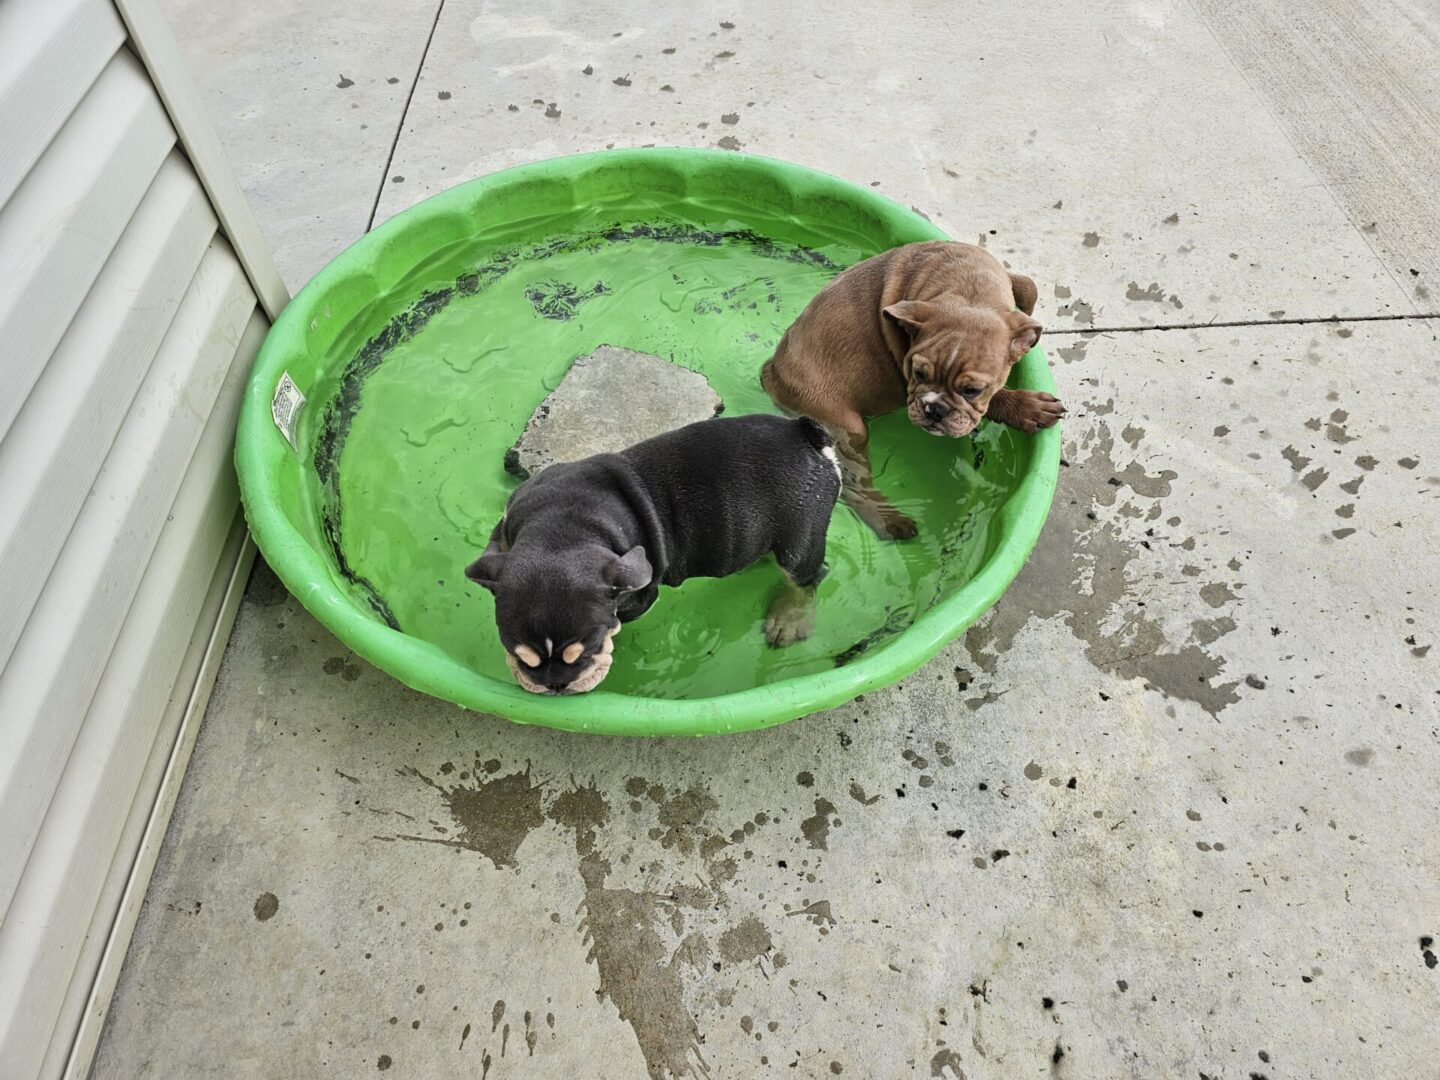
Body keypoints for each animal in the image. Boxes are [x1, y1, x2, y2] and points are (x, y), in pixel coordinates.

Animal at [466, 408, 840, 696]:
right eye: (519, 655)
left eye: (587, 651)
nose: (556, 685)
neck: (560, 529)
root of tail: (805, 434)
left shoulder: (639, 592)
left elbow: (622, 619)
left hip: (799, 540)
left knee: (808, 578)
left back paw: (789, 620)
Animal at [760, 240, 1065, 538]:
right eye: (918, 373)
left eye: (972, 390)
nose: (934, 410)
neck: (969, 292)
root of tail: (770, 372)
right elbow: (997, 397)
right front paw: (1028, 408)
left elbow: (1028, 286)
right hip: (846, 428)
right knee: (852, 484)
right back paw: (890, 521)